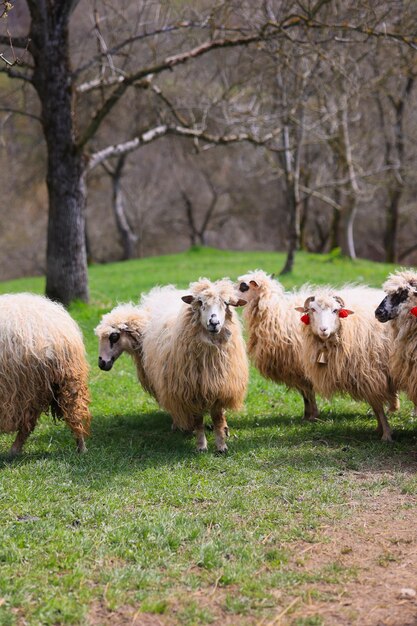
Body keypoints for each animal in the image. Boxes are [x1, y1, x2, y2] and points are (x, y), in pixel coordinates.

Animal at [141, 276, 249, 448]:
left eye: (226, 303)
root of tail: (165, 290)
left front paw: (221, 445)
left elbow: (218, 418)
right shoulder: (191, 390)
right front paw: (201, 445)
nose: (214, 323)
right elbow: (198, 420)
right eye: (200, 302)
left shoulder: (220, 386)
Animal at [234, 268, 318, 420]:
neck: (275, 314)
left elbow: (308, 392)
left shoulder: (302, 367)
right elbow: (305, 394)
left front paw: (312, 416)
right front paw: (307, 416)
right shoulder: (297, 369)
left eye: (244, 287)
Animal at [294, 286, 394, 438]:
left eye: (335, 310)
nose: (323, 329)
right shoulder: (367, 379)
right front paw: (379, 429)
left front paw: (386, 434)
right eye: (312, 310)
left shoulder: (372, 377)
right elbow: (375, 406)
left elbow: (377, 406)